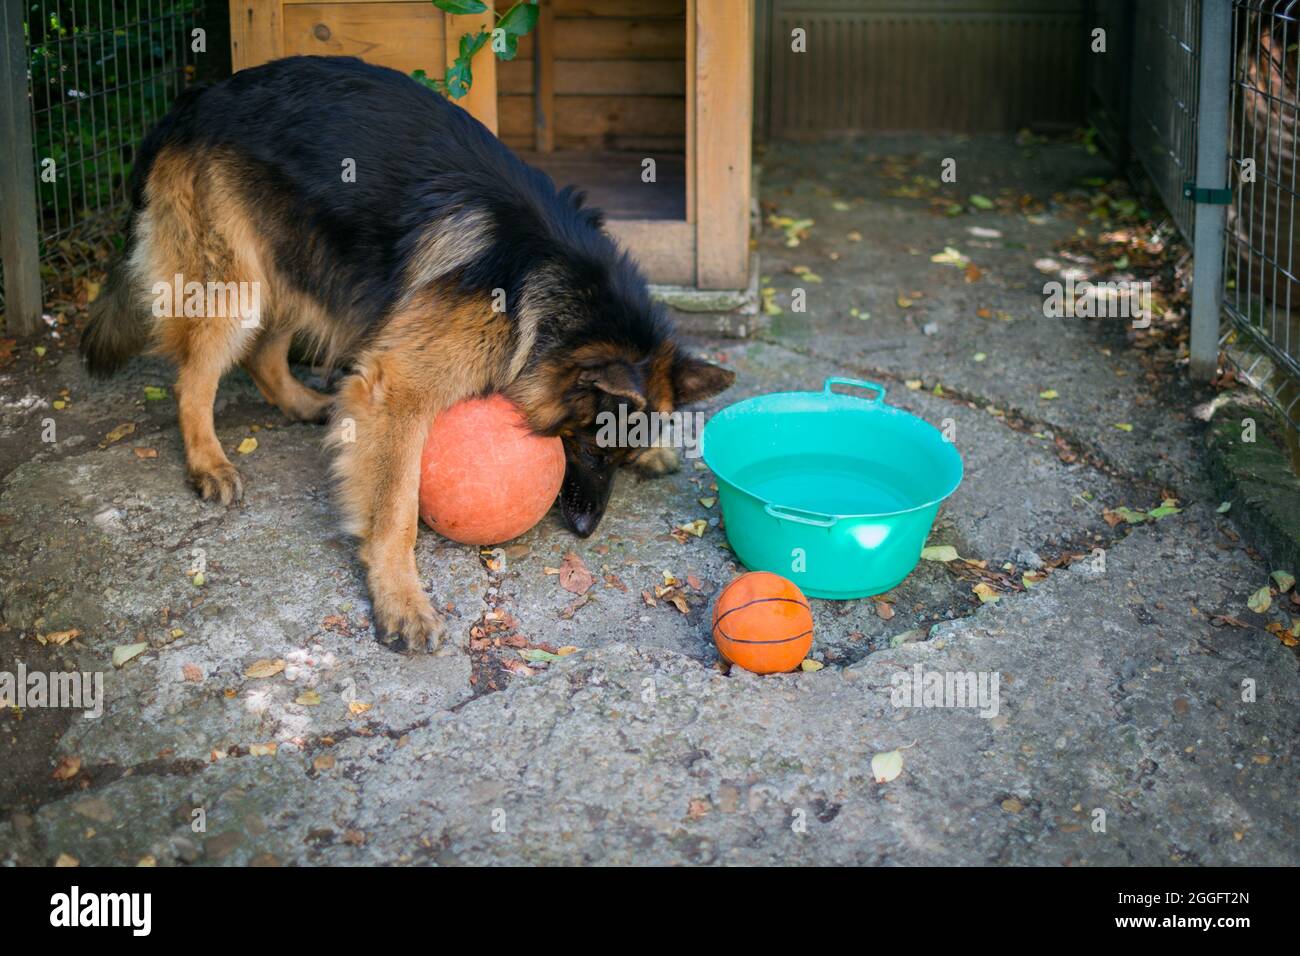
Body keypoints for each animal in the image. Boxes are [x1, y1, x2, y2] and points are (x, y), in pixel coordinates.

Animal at [78, 55, 733, 655]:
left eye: (618, 457)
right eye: (592, 448)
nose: (586, 531)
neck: (556, 288)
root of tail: (198, 98)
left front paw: (657, 452)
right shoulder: (399, 389)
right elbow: (396, 510)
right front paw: (401, 599)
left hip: (301, 258)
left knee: (264, 354)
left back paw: (307, 405)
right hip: (235, 284)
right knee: (194, 376)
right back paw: (209, 462)